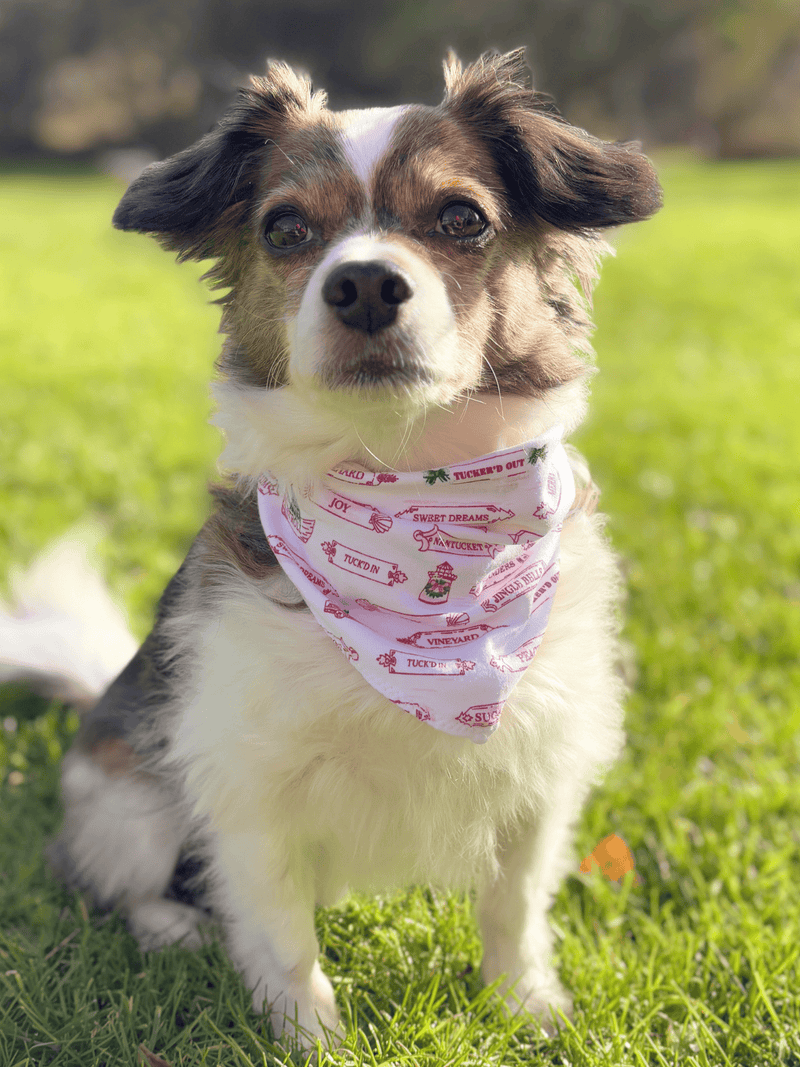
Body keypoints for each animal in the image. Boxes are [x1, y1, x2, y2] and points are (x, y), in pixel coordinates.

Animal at [15, 50, 665, 1049]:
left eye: (461, 217)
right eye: (285, 229)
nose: (361, 284)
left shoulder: (539, 765)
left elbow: (514, 905)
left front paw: (525, 1004)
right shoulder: (248, 783)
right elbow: (280, 930)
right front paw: (308, 1036)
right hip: (129, 795)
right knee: (115, 880)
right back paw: (173, 926)